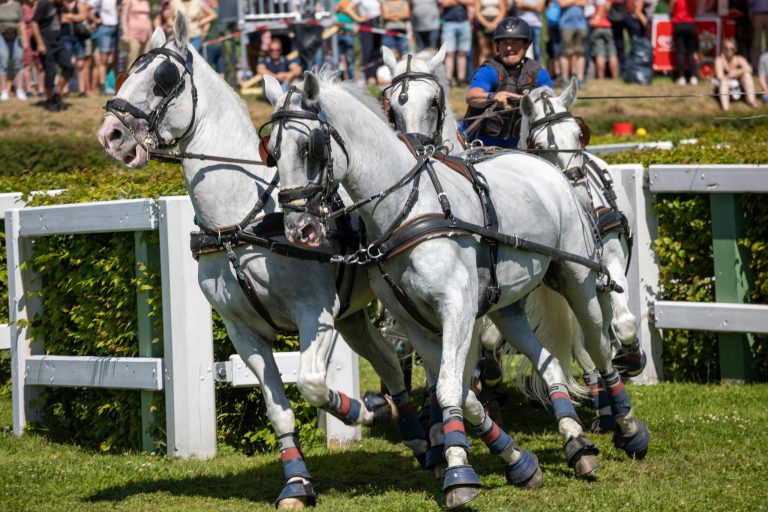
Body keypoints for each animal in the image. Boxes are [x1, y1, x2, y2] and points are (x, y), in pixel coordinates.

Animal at [96, 14, 429, 508]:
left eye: (163, 79)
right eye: (126, 71)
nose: (111, 136)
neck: (242, 219)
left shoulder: (317, 316)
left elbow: (312, 384)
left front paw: (361, 412)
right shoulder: (244, 331)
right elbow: (280, 411)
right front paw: (297, 483)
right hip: (353, 316)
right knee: (389, 360)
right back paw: (416, 434)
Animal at [263, 70, 650, 508]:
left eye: (309, 146)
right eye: (272, 151)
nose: (299, 229)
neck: (409, 206)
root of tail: (548, 170)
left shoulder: (457, 308)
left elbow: (449, 387)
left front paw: (460, 474)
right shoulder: (413, 320)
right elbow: (460, 391)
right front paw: (514, 462)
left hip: (577, 278)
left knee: (601, 346)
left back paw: (628, 427)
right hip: (506, 305)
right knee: (549, 360)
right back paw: (576, 444)